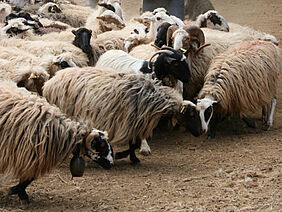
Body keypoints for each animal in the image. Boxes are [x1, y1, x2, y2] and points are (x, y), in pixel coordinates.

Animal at [43, 67, 198, 163]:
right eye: (191, 114)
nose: (199, 132)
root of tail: (49, 83)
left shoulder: (134, 122)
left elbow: (134, 144)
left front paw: (132, 158)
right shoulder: (130, 121)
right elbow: (134, 144)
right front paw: (123, 156)